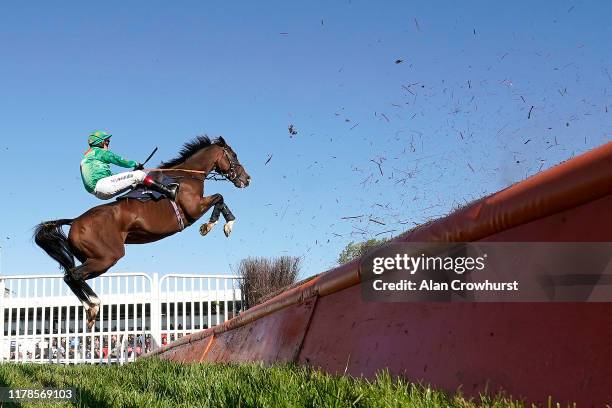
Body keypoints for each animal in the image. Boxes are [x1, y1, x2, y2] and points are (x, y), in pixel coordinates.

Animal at [32, 135, 249, 330]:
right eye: (234, 155)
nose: (247, 179)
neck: (186, 176)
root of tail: (75, 222)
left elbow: (220, 199)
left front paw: (221, 224)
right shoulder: (194, 208)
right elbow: (219, 197)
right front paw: (218, 225)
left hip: (95, 260)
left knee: (70, 276)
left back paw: (90, 310)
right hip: (107, 257)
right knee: (73, 275)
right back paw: (94, 305)